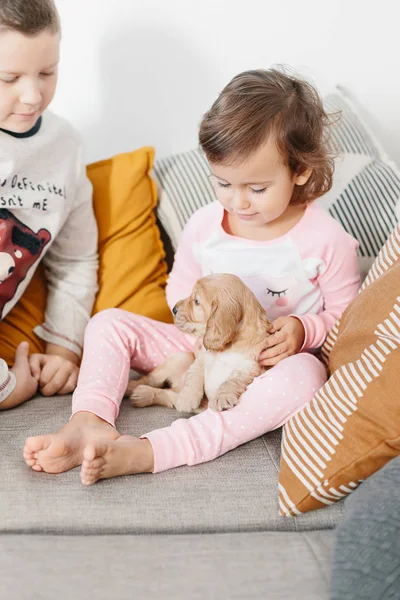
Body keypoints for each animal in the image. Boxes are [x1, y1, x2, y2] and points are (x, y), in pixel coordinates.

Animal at [125, 274, 272, 410]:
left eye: (196, 301)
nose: (174, 309)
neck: (227, 347)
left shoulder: (250, 368)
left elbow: (232, 381)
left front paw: (221, 397)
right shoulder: (201, 357)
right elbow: (193, 374)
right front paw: (187, 397)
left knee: (168, 395)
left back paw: (142, 395)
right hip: (182, 357)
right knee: (150, 379)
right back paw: (131, 388)